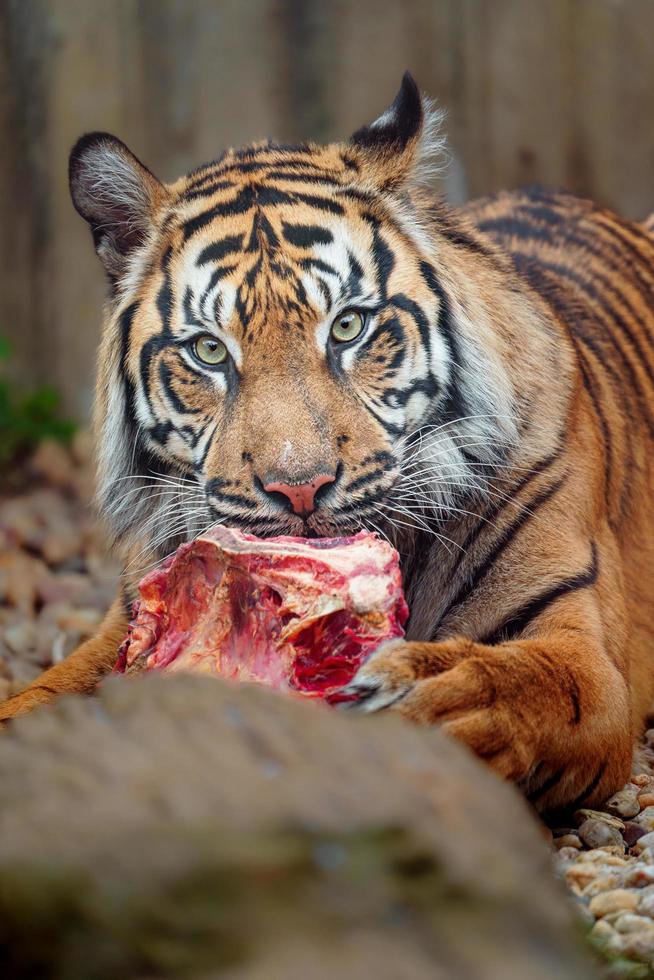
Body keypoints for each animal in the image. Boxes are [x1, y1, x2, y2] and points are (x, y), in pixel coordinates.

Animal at [3, 72, 654, 816]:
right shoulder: (128, 623)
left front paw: (419, 696)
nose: (299, 487)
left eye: (347, 327)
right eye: (208, 351)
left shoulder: (585, 655)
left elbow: (521, 681)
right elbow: (38, 698)